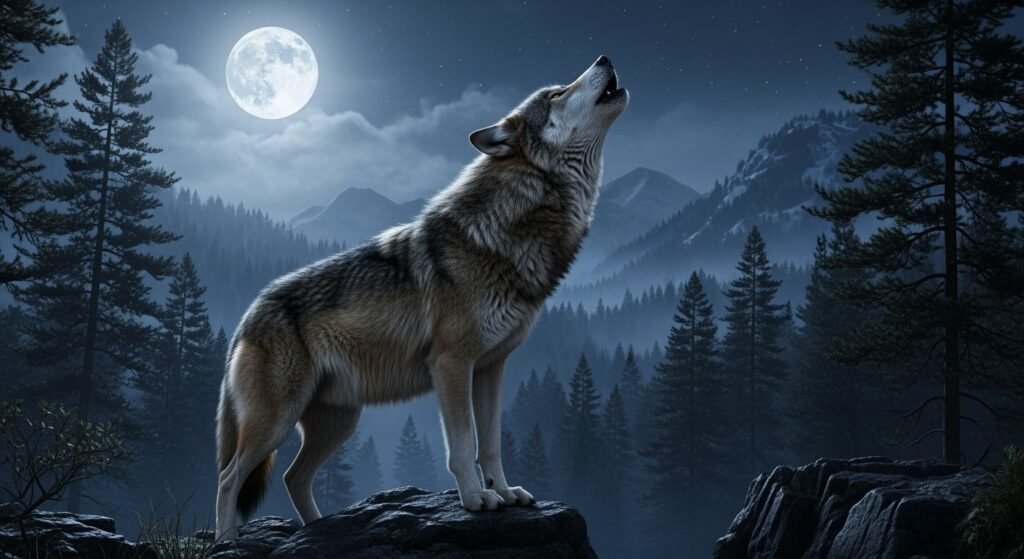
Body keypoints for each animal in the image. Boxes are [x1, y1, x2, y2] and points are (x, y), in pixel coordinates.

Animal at [214, 55, 628, 540]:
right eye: (557, 94)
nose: (604, 58)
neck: (510, 226)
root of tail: (247, 316)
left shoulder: (491, 367)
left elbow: (491, 444)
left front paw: (504, 492)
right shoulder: (451, 364)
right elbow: (463, 444)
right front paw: (475, 500)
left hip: (338, 422)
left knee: (291, 477)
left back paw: (320, 529)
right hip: (276, 422)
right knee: (229, 476)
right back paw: (226, 541)